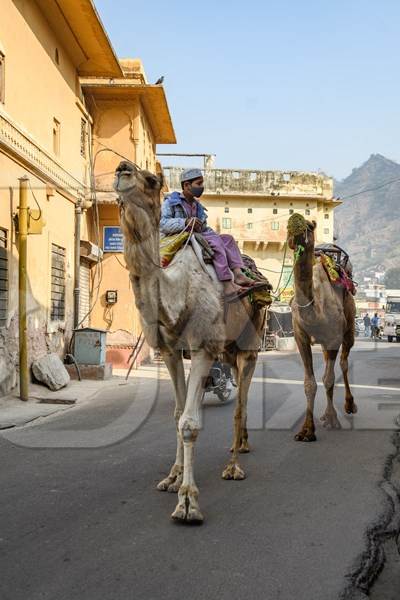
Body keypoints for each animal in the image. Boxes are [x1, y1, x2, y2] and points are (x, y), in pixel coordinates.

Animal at [112, 162, 268, 524]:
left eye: (151, 180)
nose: (122, 169)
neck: (179, 295)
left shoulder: (203, 348)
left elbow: (190, 423)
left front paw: (188, 502)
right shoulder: (170, 351)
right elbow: (177, 413)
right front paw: (172, 477)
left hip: (249, 345)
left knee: (240, 404)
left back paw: (234, 466)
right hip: (228, 349)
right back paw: (240, 445)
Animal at [286, 214, 358, 440]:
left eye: (309, 226)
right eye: (287, 225)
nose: (295, 220)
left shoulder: (334, 337)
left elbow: (328, 379)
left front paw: (333, 419)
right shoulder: (300, 336)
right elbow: (309, 383)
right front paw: (307, 430)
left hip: (349, 328)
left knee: (343, 363)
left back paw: (349, 405)